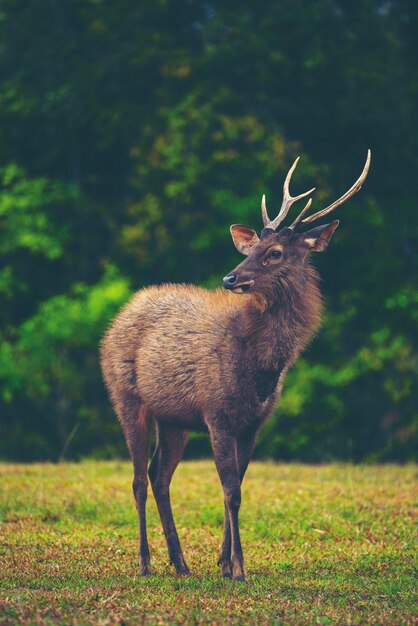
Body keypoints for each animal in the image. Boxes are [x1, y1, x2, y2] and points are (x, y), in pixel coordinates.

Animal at [99, 149, 370, 576]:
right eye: (252, 248)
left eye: (274, 253)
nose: (229, 278)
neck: (260, 368)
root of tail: (120, 314)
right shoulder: (217, 412)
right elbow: (230, 491)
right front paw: (239, 568)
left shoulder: (253, 422)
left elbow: (238, 485)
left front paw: (224, 563)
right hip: (125, 396)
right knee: (139, 479)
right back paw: (144, 563)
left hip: (173, 418)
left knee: (160, 476)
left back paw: (181, 563)